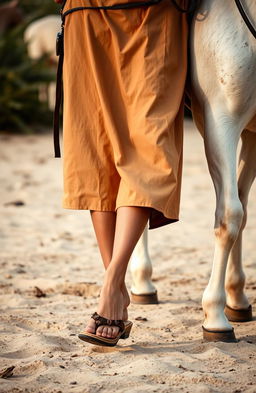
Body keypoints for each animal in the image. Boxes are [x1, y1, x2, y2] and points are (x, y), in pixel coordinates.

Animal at [131, 0, 255, 340]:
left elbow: (243, 210)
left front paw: (237, 297)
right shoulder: (220, 122)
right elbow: (230, 215)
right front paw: (215, 315)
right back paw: (142, 283)